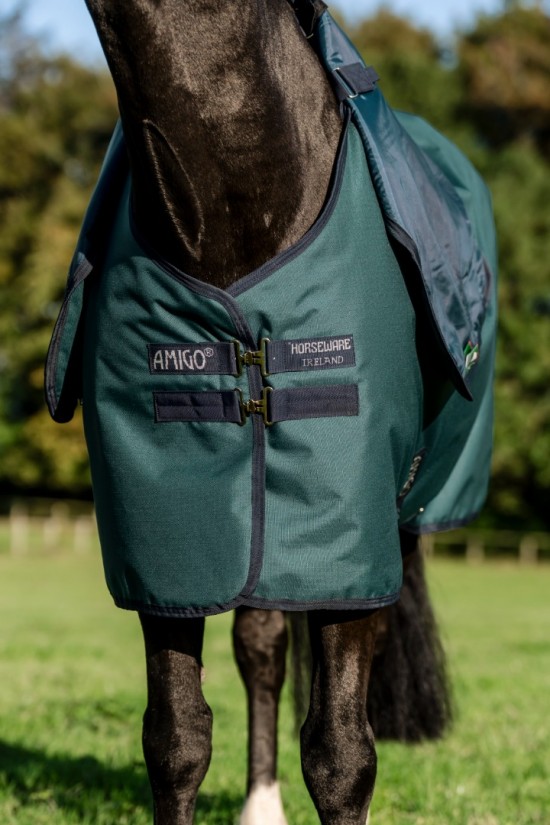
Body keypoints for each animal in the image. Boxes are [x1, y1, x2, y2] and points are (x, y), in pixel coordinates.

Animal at [46, 0, 497, 822]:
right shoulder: (168, 541)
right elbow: (177, 738)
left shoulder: (352, 545)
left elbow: (342, 754)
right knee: (262, 642)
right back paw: (260, 802)